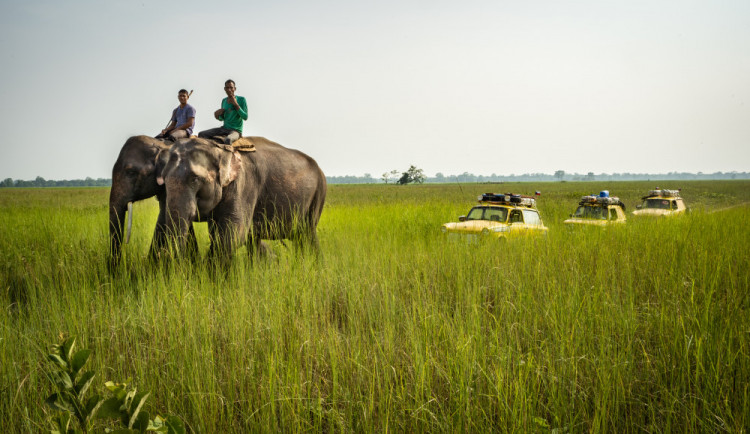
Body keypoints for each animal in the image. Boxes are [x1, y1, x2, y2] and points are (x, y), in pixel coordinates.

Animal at [160, 137, 328, 262]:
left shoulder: (244, 183)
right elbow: (217, 233)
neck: (219, 148)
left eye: (194, 179)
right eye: (164, 180)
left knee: (307, 234)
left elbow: (233, 235)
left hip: (319, 193)